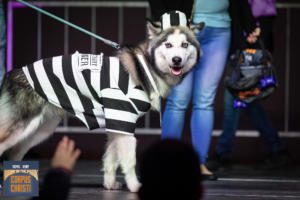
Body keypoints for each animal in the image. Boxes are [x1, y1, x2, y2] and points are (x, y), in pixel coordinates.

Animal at [0, 12, 204, 192]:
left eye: (185, 44)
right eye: (168, 45)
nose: (177, 60)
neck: (144, 67)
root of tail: (13, 72)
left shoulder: (117, 126)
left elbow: (111, 160)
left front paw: (109, 184)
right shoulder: (123, 122)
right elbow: (129, 161)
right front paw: (135, 186)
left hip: (39, 130)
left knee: (15, 153)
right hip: (20, 128)